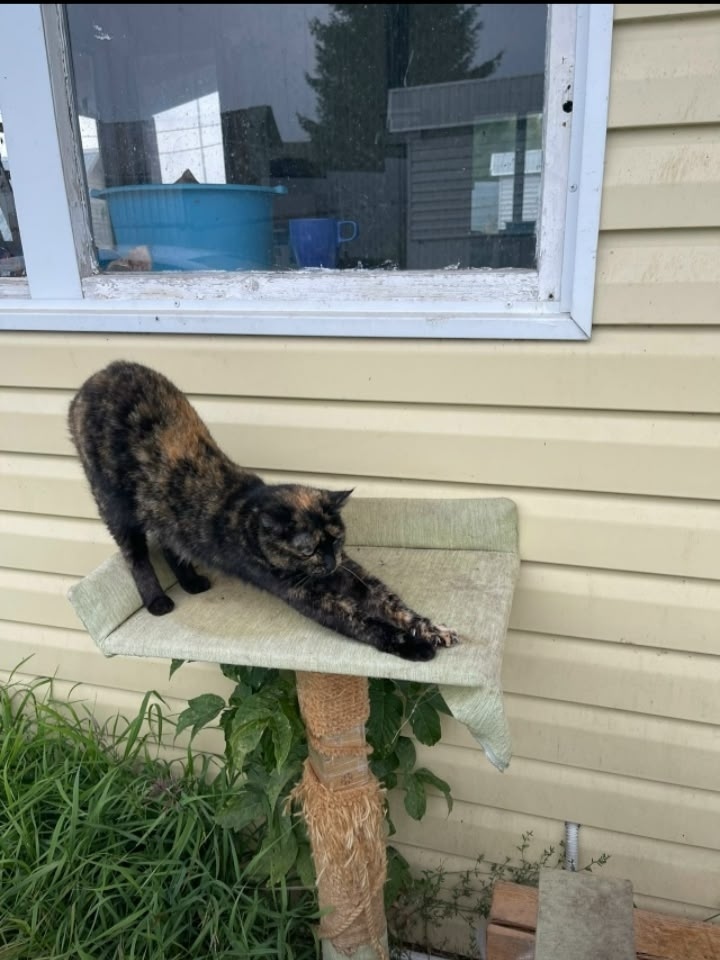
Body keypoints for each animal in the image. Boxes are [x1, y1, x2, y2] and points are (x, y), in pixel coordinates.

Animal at [68, 361, 459, 662]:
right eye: (308, 549)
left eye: (336, 540)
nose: (329, 562)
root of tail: (96, 378)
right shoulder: (310, 597)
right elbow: (366, 624)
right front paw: (414, 646)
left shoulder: (353, 576)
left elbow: (395, 605)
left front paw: (432, 630)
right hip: (112, 503)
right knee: (135, 554)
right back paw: (157, 600)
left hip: (163, 511)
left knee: (169, 540)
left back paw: (192, 582)